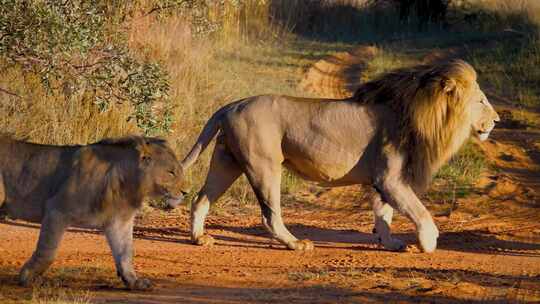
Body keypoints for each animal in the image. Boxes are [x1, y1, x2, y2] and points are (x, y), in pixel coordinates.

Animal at [0, 136, 187, 290]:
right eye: (171, 172)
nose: (186, 192)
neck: (128, 183)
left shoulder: (119, 222)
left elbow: (125, 253)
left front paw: (133, 281)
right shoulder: (56, 210)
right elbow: (48, 252)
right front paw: (27, 278)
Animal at [172, 58, 498, 252]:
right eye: (482, 100)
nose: (496, 120)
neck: (424, 112)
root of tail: (231, 105)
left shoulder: (380, 181)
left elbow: (384, 214)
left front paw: (390, 243)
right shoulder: (391, 178)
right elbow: (419, 211)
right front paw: (429, 242)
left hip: (227, 161)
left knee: (201, 199)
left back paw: (200, 238)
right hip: (264, 165)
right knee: (269, 215)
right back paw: (296, 244)